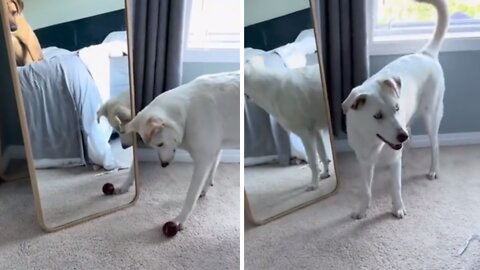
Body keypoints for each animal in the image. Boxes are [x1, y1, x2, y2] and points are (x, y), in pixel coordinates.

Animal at [244, 55, 330, 190]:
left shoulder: (305, 134)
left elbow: (313, 162)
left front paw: (314, 184)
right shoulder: (315, 131)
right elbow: (322, 154)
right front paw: (325, 173)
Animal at [344, 0, 448, 219]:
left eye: (396, 107)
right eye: (377, 115)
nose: (401, 137)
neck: (374, 141)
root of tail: (426, 54)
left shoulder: (392, 157)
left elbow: (396, 186)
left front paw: (398, 208)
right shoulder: (364, 162)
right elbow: (366, 189)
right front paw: (362, 210)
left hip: (431, 115)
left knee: (434, 145)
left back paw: (432, 169)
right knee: (411, 136)